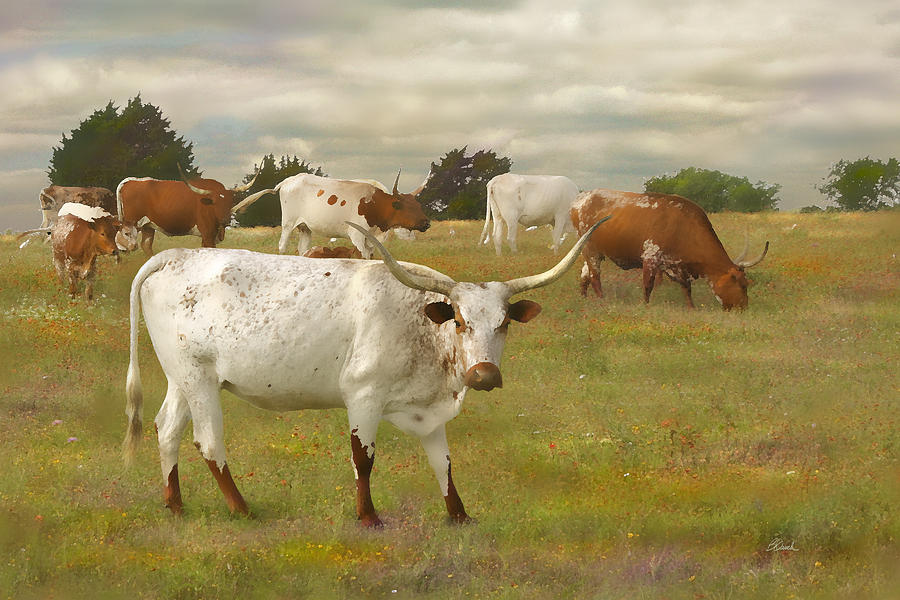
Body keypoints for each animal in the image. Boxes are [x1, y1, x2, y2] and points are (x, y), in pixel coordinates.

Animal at [123, 218, 608, 524]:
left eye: (504, 323)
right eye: (459, 320)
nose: (484, 375)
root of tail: (174, 256)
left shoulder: (429, 409)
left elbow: (443, 462)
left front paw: (459, 515)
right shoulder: (363, 396)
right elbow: (364, 457)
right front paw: (369, 516)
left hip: (181, 378)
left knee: (167, 428)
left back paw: (176, 506)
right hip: (199, 378)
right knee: (208, 442)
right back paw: (242, 510)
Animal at [230, 172, 430, 258]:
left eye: (418, 205)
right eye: (404, 206)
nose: (426, 223)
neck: (375, 204)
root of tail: (289, 180)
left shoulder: (372, 239)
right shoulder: (357, 235)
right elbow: (363, 256)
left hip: (305, 227)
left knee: (302, 249)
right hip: (288, 223)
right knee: (282, 246)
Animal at [572, 189, 768, 312]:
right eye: (743, 285)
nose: (743, 309)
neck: (684, 227)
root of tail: (580, 199)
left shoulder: (677, 265)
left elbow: (686, 287)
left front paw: (691, 308)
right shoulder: (650, 258)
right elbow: (648, 286)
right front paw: (645, 306)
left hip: (593, 252)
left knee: (585, 274)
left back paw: (583, 298)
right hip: (590, 249)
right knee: (595, 277)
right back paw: (601, 300)